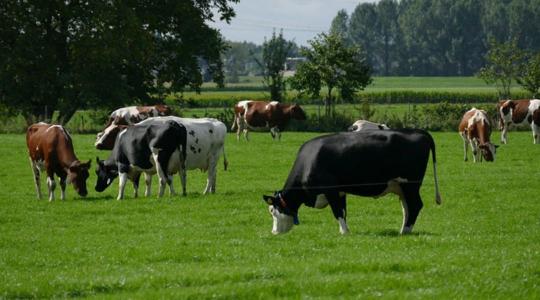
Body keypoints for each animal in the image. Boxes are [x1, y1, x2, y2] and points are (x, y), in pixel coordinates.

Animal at [94, 117, 227, 195]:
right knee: (213, 175)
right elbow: (148, 181)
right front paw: (148, 195)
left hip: (213, 158)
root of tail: (219, 122)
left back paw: (205, 191)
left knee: (210, 175)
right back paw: (212, 191)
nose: (97, 144)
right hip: (210, 160)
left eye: (110, 133)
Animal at [262, 130, 442, 236]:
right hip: (401, 187)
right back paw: (404, 229)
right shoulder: (340, 192)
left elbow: (337, 212)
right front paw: (345, 230)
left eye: (273, 211)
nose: (274, 232)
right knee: (406, 208)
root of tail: (418, 132)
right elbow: (343, 211)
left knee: (415, 205)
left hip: (410, 184)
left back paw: (405, 231)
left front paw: (344, 232)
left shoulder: (331, 190)